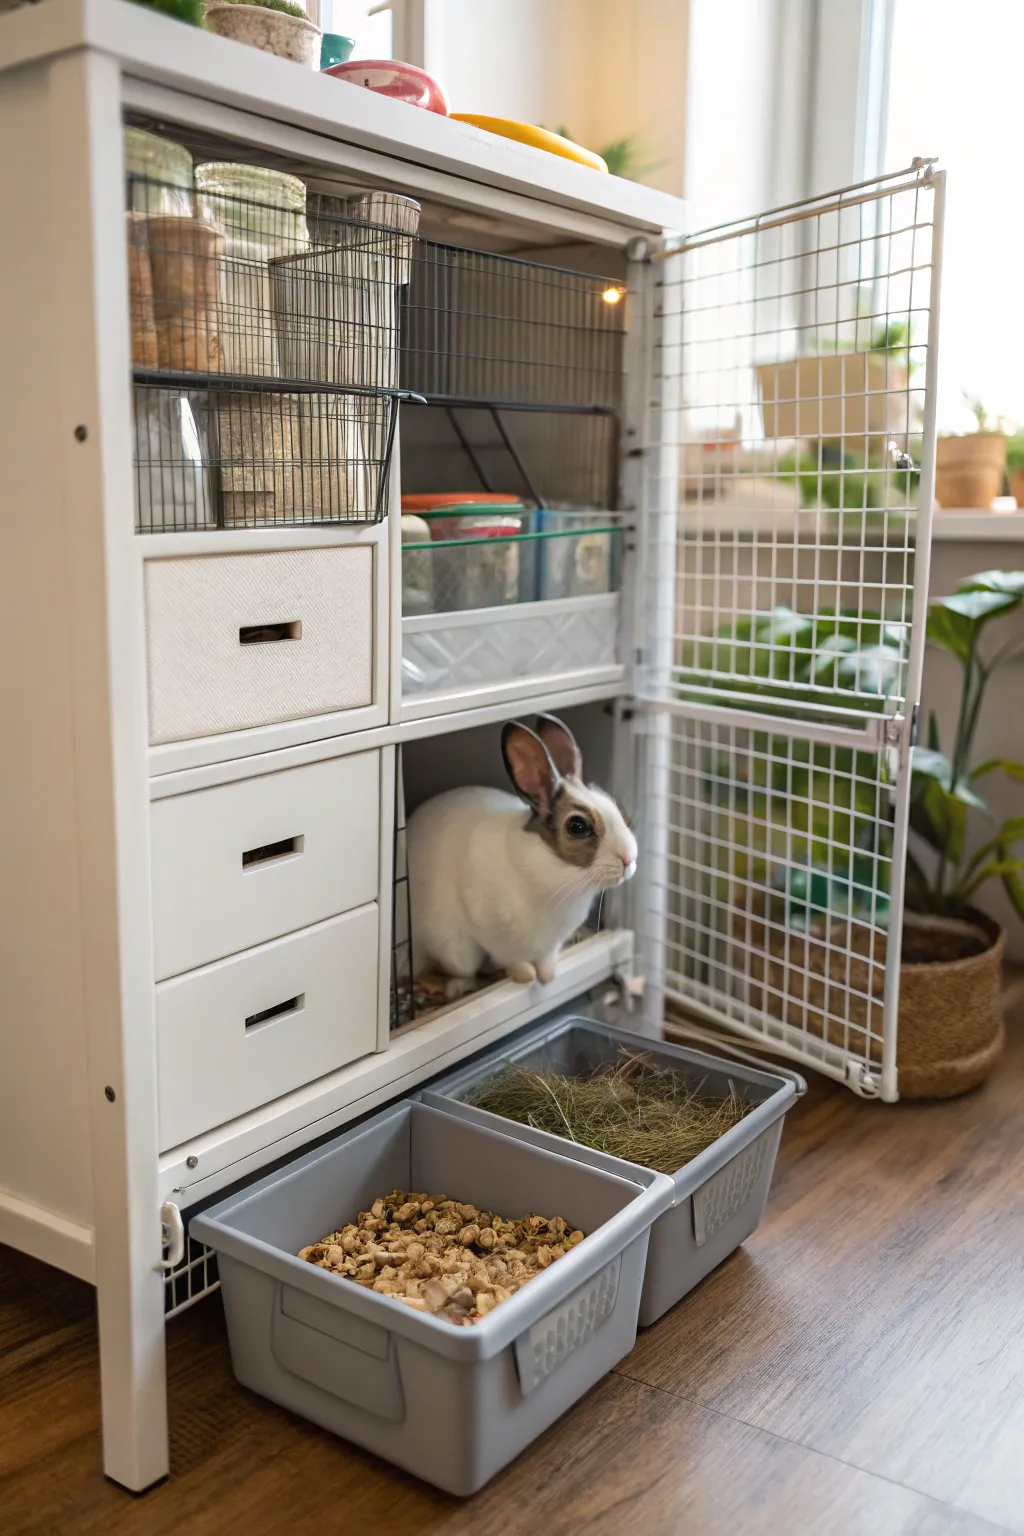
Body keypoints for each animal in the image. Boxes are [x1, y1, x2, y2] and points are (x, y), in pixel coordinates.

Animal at [406, 714, 637, 999]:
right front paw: (527, 976)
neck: (559, 879)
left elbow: (546, 959)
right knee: (464, 970)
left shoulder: (551, 943)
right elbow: (512, 960)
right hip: (455, 951)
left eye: (616, 809)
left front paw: (548, 977)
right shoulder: (492, 935)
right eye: (578, 826)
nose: (629, 859)